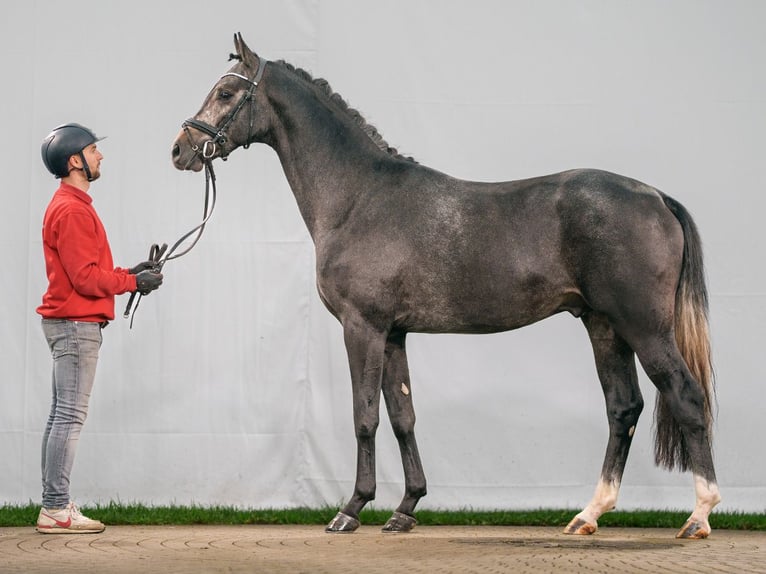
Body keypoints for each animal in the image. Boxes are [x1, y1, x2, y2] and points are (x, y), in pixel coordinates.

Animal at [171, 33, 724, 544]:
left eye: (225, 92)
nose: (180, 149)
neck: (358, 197)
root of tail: (656, 196)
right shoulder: (394, 335)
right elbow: (403, 416)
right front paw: (405, 509)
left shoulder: (363, 327)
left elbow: (365, 416)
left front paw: (351, 509)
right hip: (604, 326)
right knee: (622, 407)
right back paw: (589, 514)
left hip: (644, 327)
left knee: (684, 395)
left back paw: (698, 516)